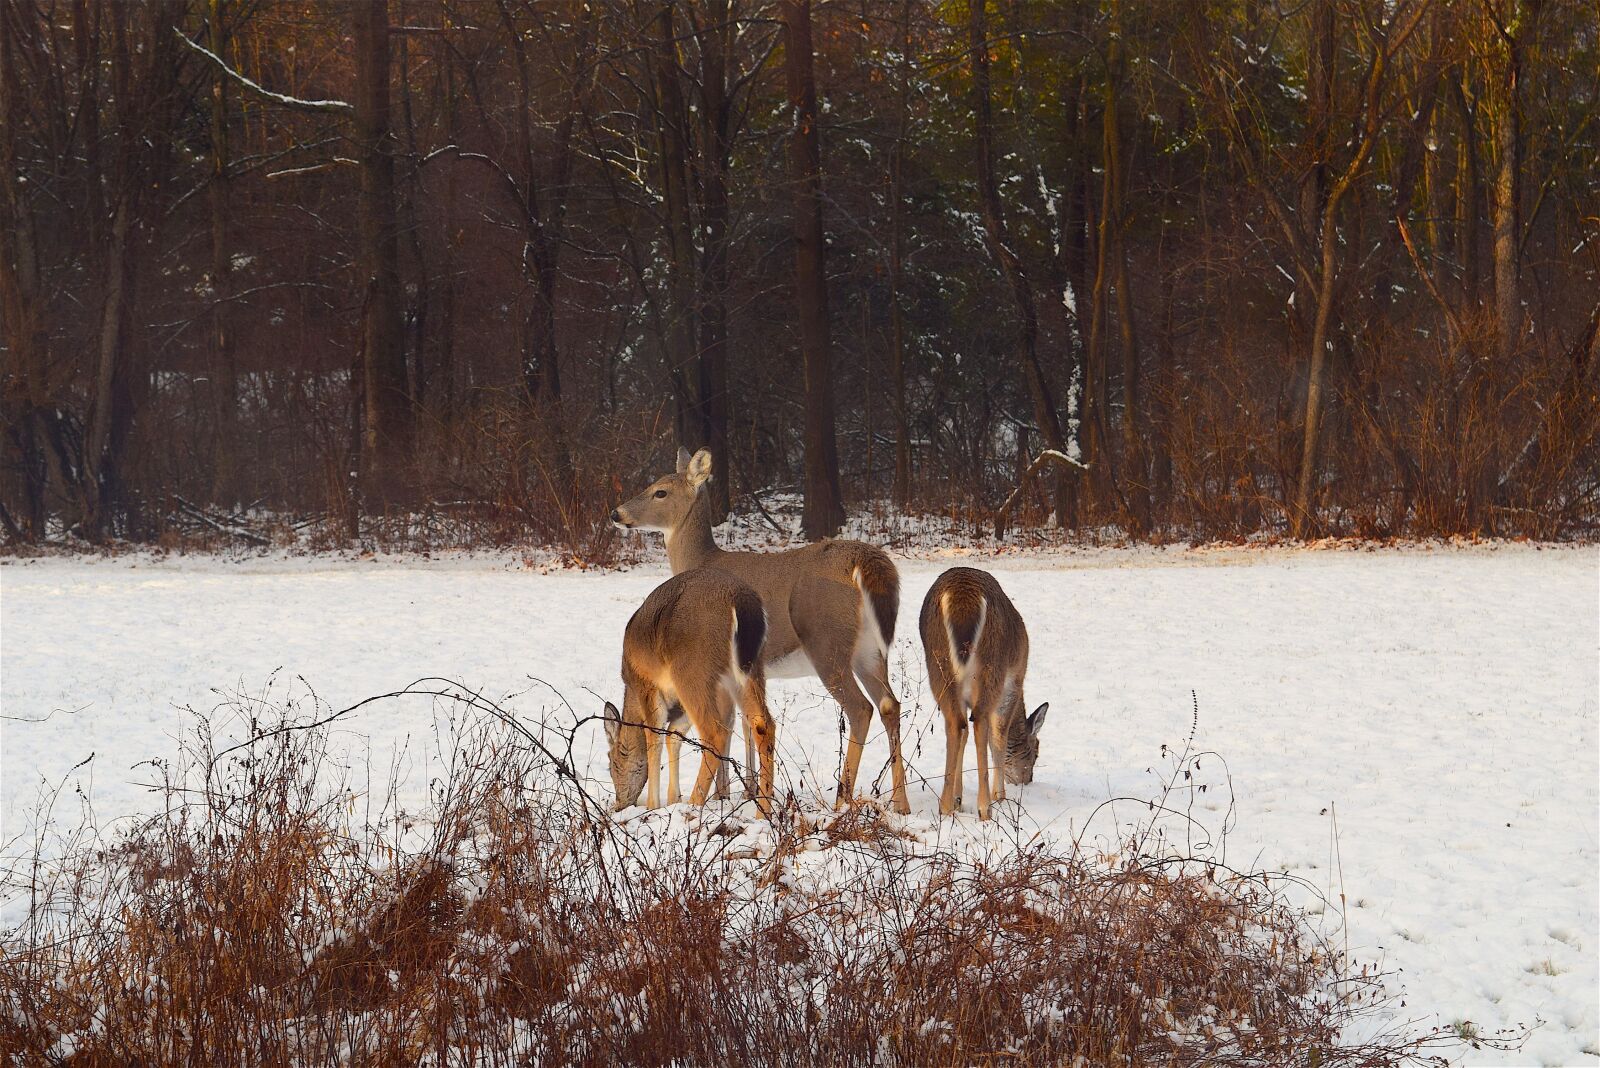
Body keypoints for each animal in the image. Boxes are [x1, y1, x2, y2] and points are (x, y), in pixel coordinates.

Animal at [602, 567, 778, 818]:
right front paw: (673, 798)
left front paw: (653, 806)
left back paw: (695, 804)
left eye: (612, 764)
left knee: (715, 732)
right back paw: (762, 812)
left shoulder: (647, 685)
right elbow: (673, 736)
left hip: (692, 670)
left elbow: (654, 737)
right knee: (762, 724)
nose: (619, 804)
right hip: (749, 668)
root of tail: (741, 601)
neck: (631, 691)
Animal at [920, 567, 1048, 821]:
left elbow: (964, 734)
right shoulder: (1014, 681)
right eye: (1035, 752)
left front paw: (958, 798)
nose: (1027, 780)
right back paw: (985, 807)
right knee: (980, 723)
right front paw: (1000, 796)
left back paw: (945, 806)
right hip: (993, 666)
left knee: (956, 724)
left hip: (939, 668)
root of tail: (962, 601)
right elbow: (998, 735)